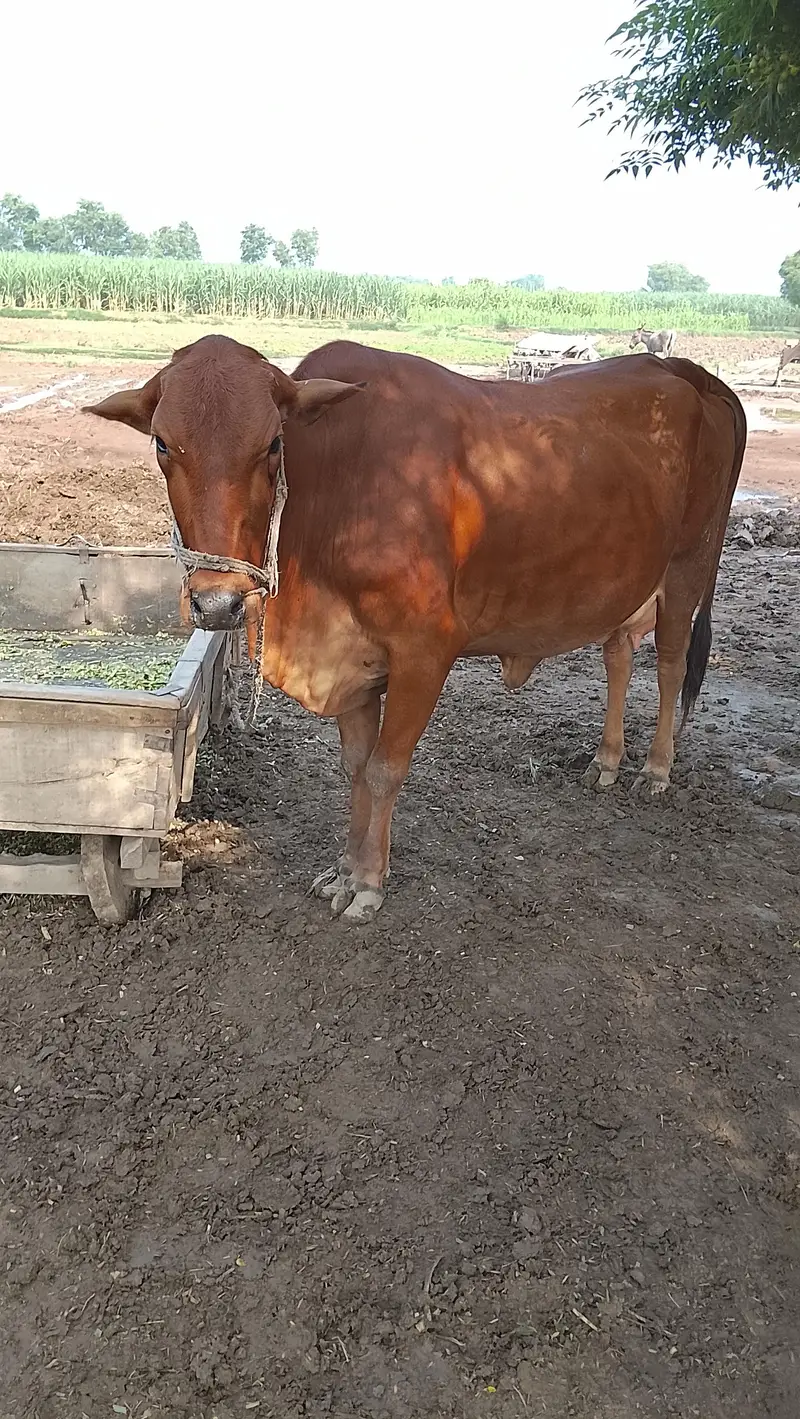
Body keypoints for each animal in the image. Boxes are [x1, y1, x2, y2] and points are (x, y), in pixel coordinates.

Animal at [84, 337, 746, 923]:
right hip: (627, 581)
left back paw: (655, 769)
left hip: (689, 565)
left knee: (670, 663)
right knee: (618, 655)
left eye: (272, 443)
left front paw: (369, 885)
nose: (217, 602)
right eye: (163, 443)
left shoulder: (426, 651)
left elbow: (384, 768)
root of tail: (689, 371)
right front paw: (344, 870)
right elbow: (355, 766)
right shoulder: (353, 660)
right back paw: (607, 760)